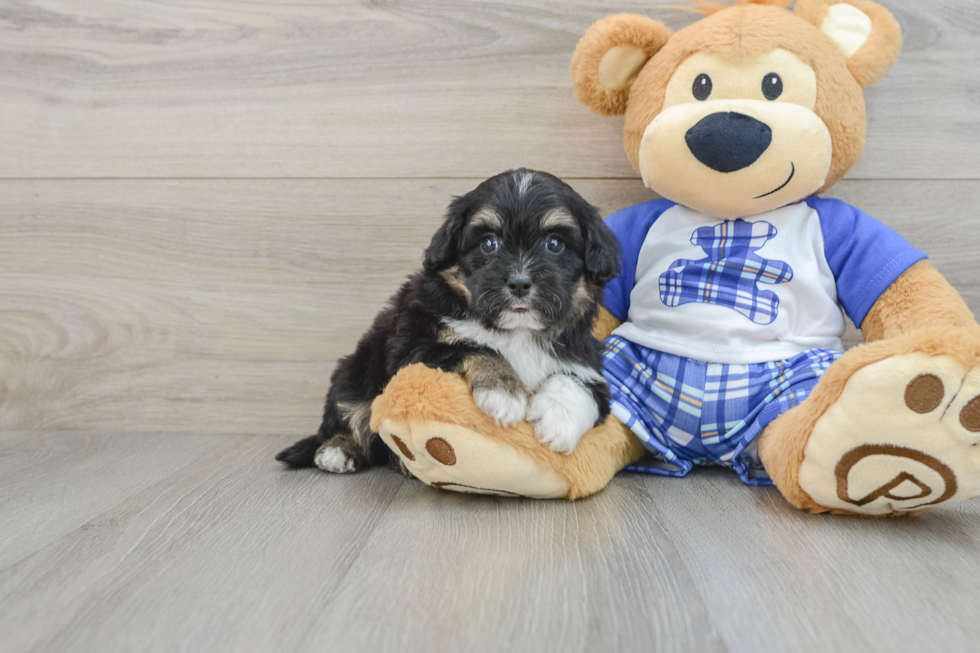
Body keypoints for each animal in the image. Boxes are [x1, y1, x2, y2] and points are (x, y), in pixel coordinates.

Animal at [276, 169, 620, 474]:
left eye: (554, 243)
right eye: (489, 243)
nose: (520, 283)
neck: (517, 331)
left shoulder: (585, 359)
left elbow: (578, 385)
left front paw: (558, 422)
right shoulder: (413, 347)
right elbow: (475, 346)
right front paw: (504, 391)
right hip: (356, 370)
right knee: (352, 412)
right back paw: (339, 450)